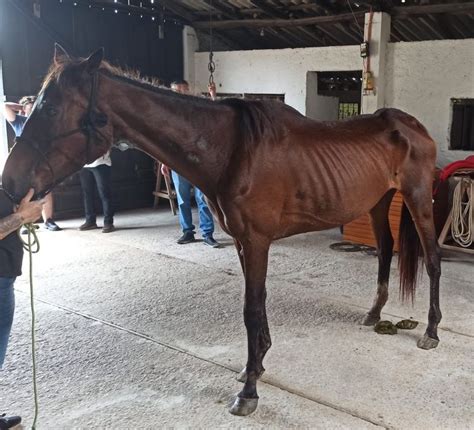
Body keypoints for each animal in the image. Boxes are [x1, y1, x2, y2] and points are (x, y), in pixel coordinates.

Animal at [2, 46, 440, 416]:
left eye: (51, 108)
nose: (11, 184)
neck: (230, 149)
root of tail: (414, 126)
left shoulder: (257, 241)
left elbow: (251, 308)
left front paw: (248, 392)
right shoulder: (244, 244)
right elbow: (256, 305)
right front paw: (254, 368)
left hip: (418, 200)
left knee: (432, 261)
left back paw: (432, 332)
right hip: (380, 202)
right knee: (384, 250)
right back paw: (374, 313)